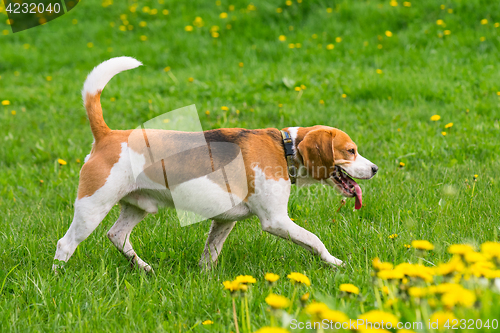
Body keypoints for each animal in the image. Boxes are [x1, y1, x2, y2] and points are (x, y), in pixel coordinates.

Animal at [51, 57, 378, 272]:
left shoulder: (224, 221)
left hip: (138, 206)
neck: (285, 148)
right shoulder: (276, 220)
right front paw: (336, 263)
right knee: (65, 244)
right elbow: (314, 240)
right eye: (350, 151)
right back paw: (59, 278)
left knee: (117, 236)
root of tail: (107, 134)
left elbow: (210, 253)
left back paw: (144, 268)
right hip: (92, 206)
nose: (375, 169)